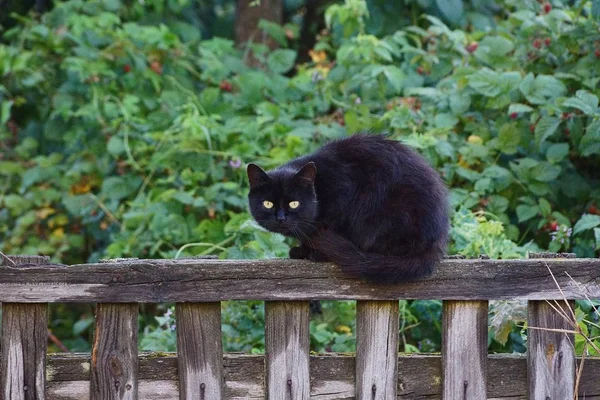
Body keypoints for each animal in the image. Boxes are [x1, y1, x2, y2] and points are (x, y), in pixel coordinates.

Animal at [246, 134, 448, 282]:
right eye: (268, 203)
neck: (320, 185)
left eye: (294, 203)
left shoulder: (341, 197)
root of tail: (436, 240)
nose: (281, 218)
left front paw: (311, 253)